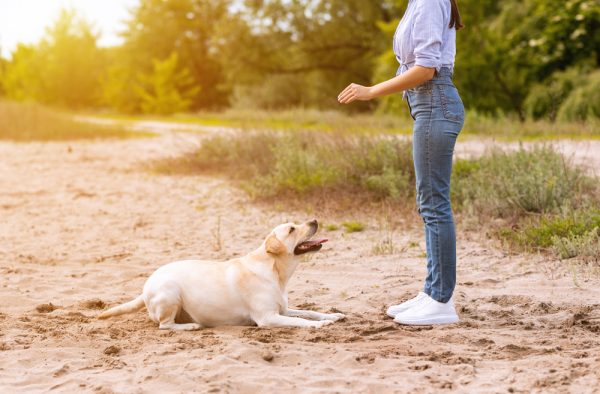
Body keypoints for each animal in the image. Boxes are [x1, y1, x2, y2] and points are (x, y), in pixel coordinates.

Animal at [98, 220, 342, 330]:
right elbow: (300, 320)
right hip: (170, 293)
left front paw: (331, 316)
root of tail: (147, 285)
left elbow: (308, 312)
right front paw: (318, 326)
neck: (276, 271)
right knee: (165, 325)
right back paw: (191, 327)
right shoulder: (267, 317)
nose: (314, 220)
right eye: (292, 229)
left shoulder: (282, 309)